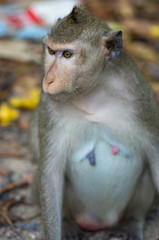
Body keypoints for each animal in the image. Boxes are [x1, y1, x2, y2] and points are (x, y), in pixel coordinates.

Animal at [29, 5, 159, 240]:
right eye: (51, 51)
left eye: (67, 54)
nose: (48, 80)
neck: (93, 92)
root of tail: (101, 222)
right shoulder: (49, 107)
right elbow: (50, 174)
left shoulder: (141, 99)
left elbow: (156, 159)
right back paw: (68, 223)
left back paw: (132, 221)